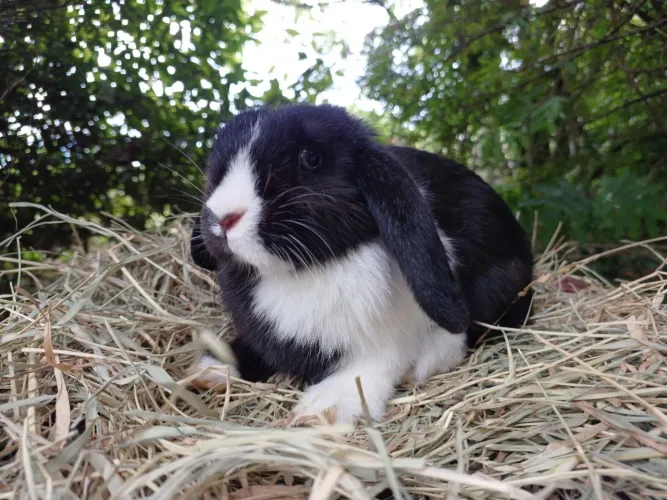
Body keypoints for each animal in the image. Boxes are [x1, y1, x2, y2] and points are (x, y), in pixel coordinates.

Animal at [188, 103, 534, 425]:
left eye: (311, 158)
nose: (222, 217)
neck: (298, 273)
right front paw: (212, 369)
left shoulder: (389, 344)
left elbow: (370, 367)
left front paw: (324, 408)